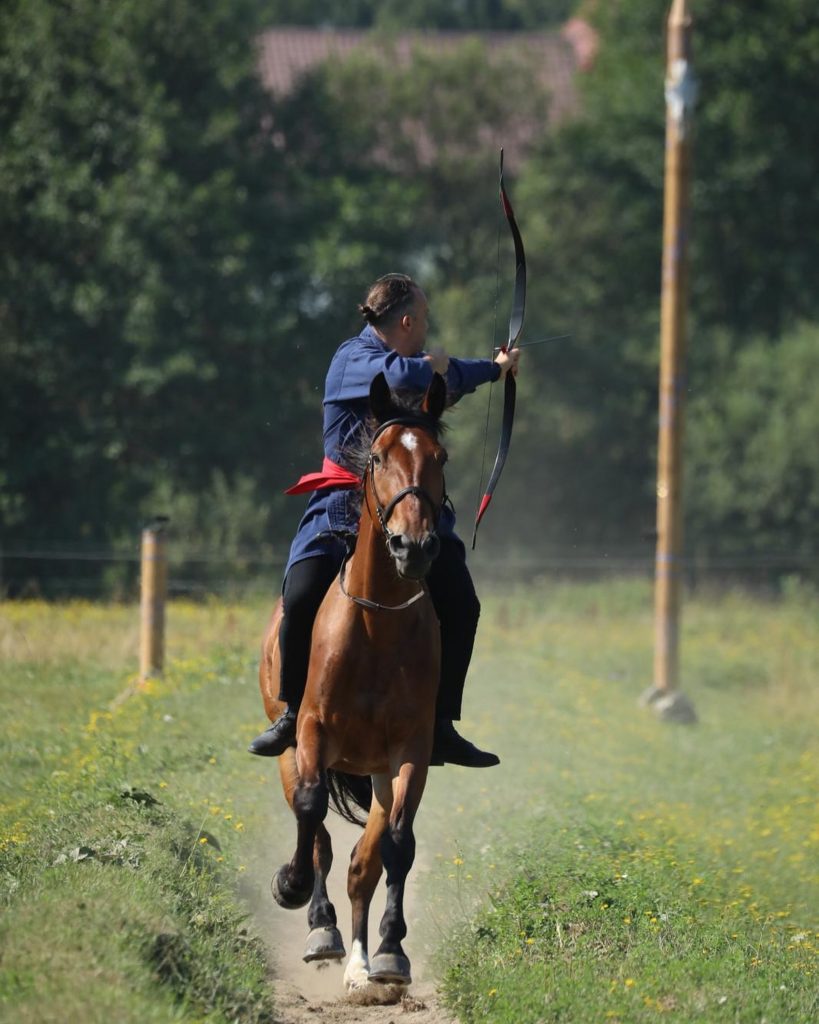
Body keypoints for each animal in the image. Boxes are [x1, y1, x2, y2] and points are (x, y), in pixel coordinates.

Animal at [257, 372, 444, 995]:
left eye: (439, 457)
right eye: (379, 457)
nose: (414, 545)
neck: (377, 626)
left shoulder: (410, 750)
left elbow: (397, 845)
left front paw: (390, 951)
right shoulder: (313, 733)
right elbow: (312, 812)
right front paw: (294, 891)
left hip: (380, 775)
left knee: (365, 862)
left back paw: (365, 961)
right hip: (288, 749)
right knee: (315, 831)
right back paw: (323, 928)